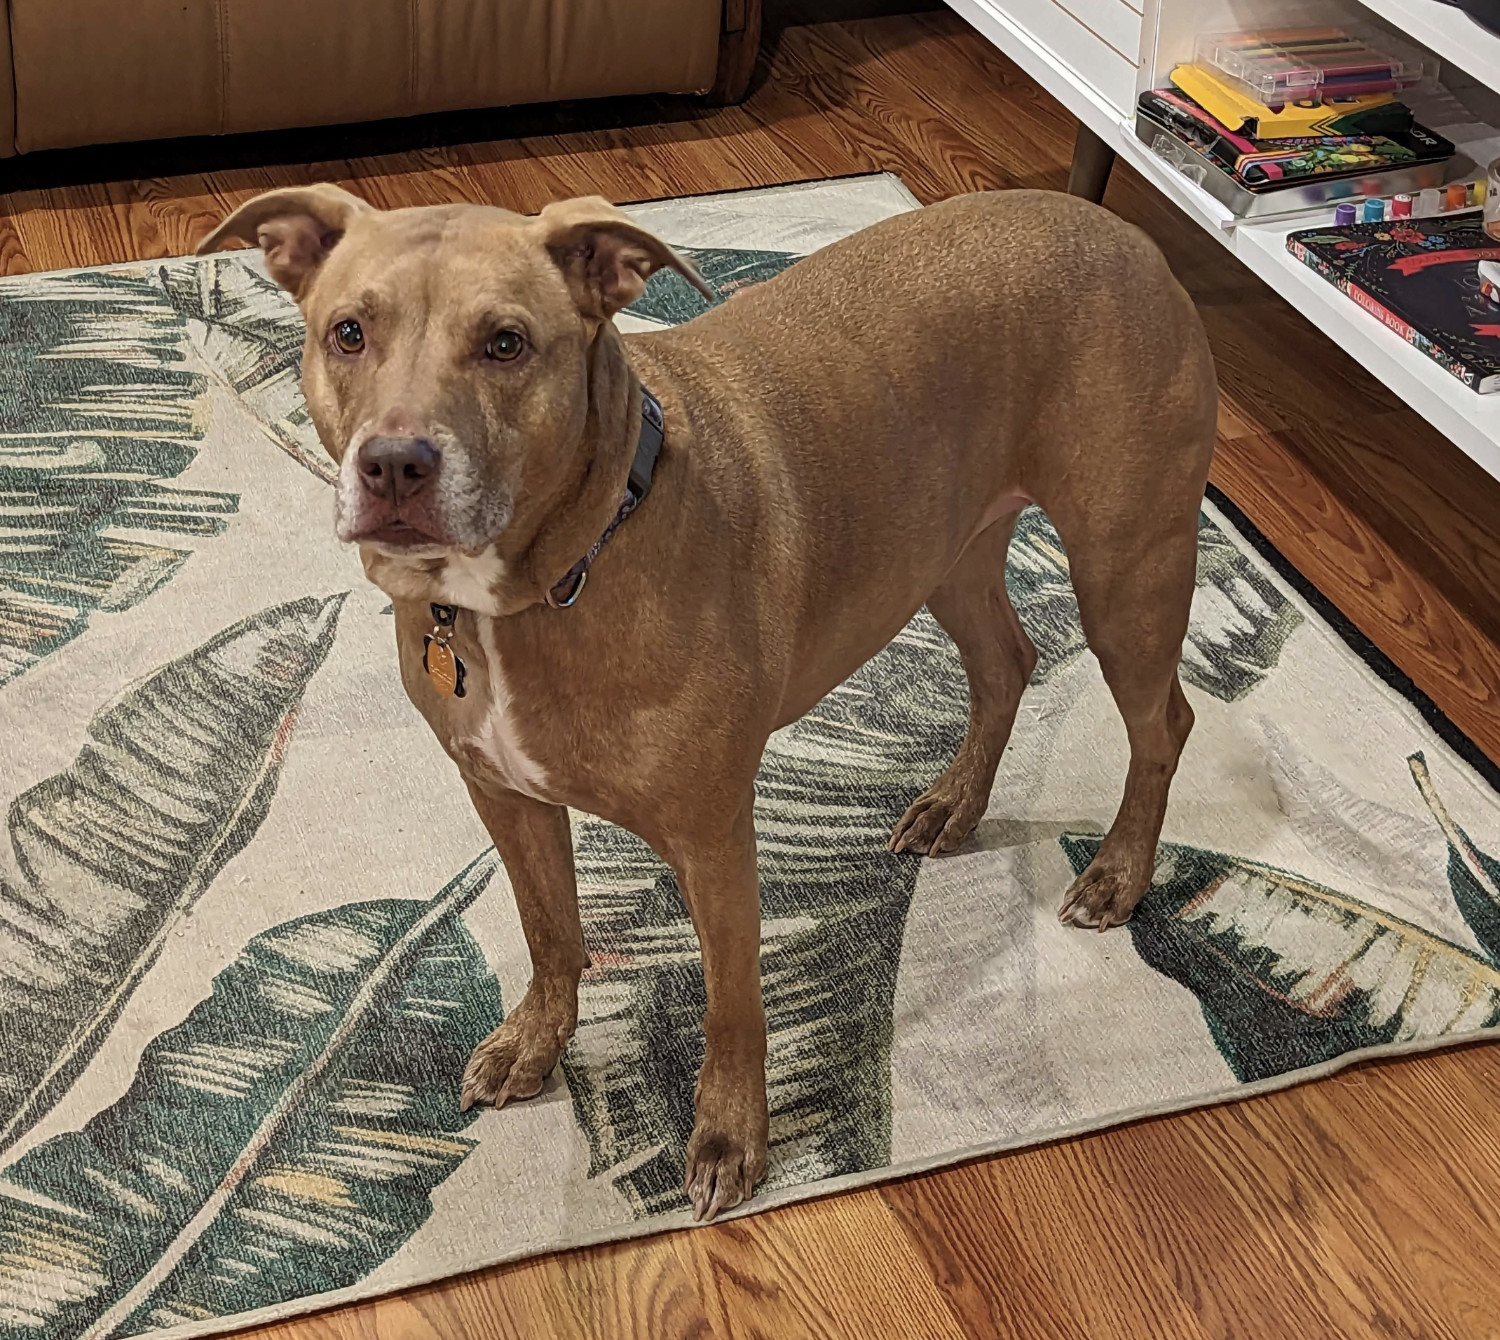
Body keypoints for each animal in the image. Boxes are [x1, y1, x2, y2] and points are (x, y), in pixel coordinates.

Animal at [196, 183, 1218, 1218]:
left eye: (506, 343)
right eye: (348, 332)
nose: (394, 464)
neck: (558, 574)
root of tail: (1121, 233)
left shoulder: (712, 835)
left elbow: (733, 1001)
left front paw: (730, 1136)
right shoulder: (504, 794)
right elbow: (549, 928)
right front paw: (537, 1041)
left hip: (1126, 570)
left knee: (1163, 723)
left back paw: (1118, 872)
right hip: (945, 554)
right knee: (1008, 663)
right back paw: (954, 804)